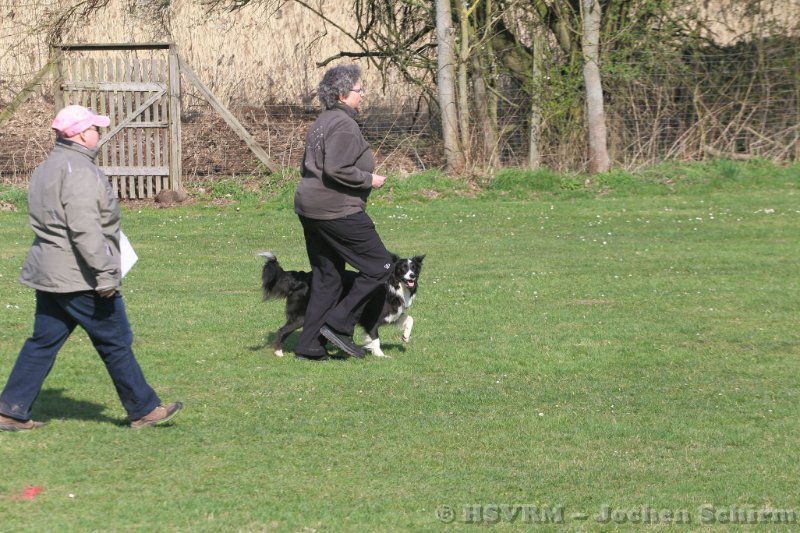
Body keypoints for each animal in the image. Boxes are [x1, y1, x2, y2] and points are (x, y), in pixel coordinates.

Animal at [259, 251, 424, 357]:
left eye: (414, 268)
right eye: (402, 269)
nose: (412, 276)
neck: (393, 285)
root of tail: (302, 277)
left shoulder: (393, 312)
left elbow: (409, 318)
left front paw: (405, 336)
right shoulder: (371, 319)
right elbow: (375, 338)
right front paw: (380, 355)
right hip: (302, 316)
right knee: (282, 330)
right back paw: (278, 352)